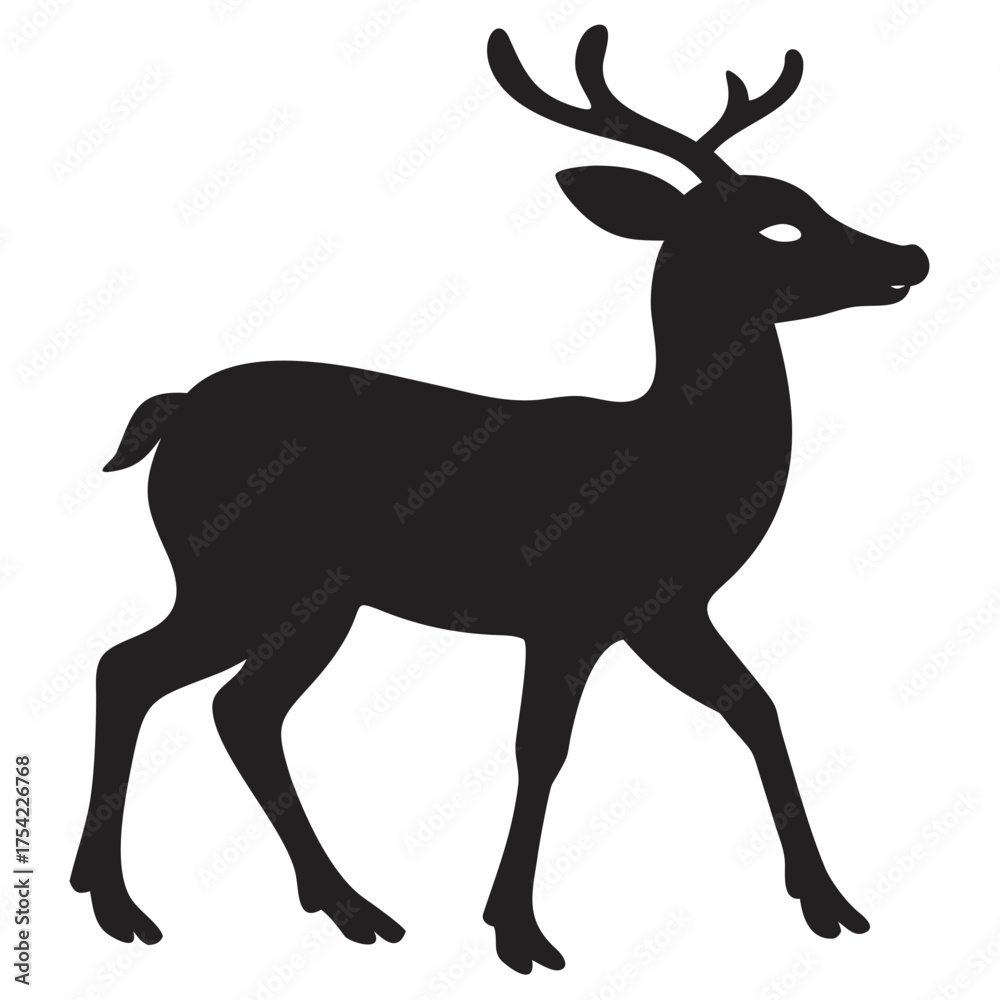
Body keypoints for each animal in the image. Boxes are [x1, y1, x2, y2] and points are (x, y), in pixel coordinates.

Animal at [71, 25, 929, 975]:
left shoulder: (666, 614)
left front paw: (831, 904)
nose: (910, 257)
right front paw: (517, 931)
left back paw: (307, 904)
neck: (672, 459)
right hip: (256, 578)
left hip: (286, 594)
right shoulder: (571, 612)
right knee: (162, 679)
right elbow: (541, 751)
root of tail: (174, 410)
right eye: (779, 224)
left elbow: (759, 710)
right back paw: (146, 905)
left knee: (205, 696)